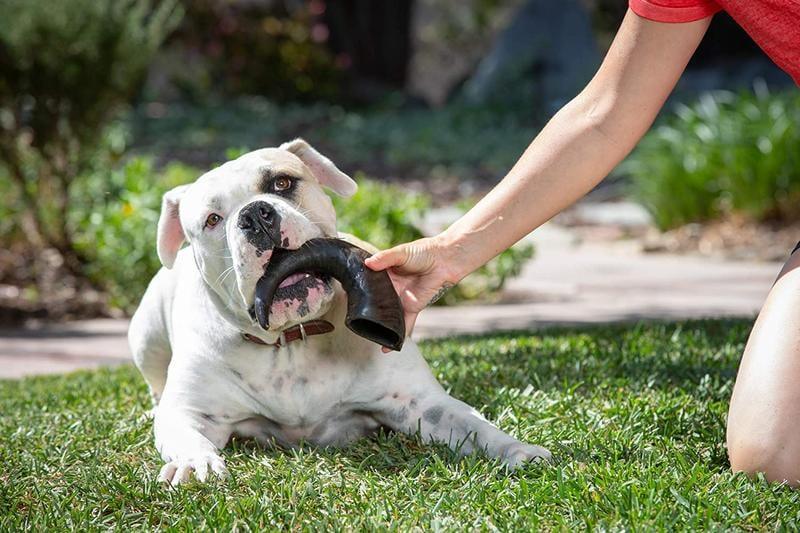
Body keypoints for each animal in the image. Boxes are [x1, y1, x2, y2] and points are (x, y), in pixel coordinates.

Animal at [128, 139, 552, 484]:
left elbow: (472, 424)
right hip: (145, 337)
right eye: (212, 220)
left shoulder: (420, 403)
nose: (255, 216)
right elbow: (185, 433)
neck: (293, 340)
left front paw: (518, 450)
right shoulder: (192, 412)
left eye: (282, 184)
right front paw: (195, 464)